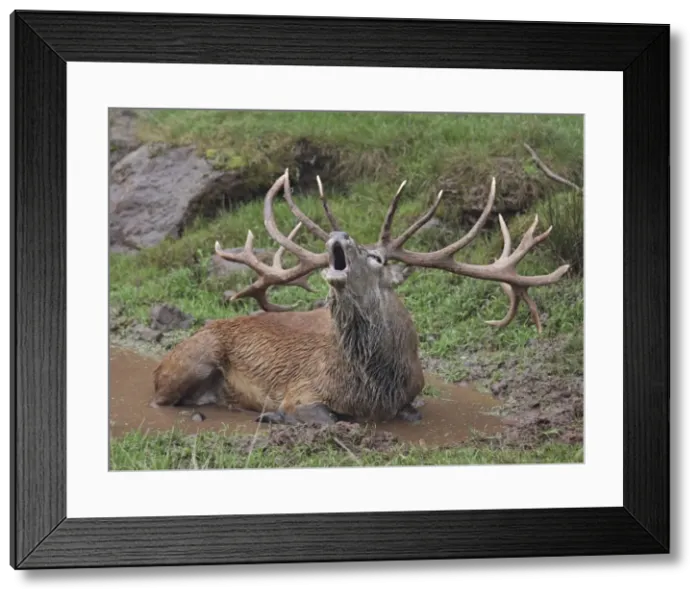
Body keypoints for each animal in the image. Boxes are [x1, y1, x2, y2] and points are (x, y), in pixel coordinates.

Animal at [150, 168, 570, 426]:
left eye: (377, 258)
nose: (340, 235)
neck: (375, 386)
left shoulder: (411, 397)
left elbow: (413, 414)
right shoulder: (302, 391)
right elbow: (327, 418)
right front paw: (274, 416)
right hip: (191, 360)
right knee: (161, 399)